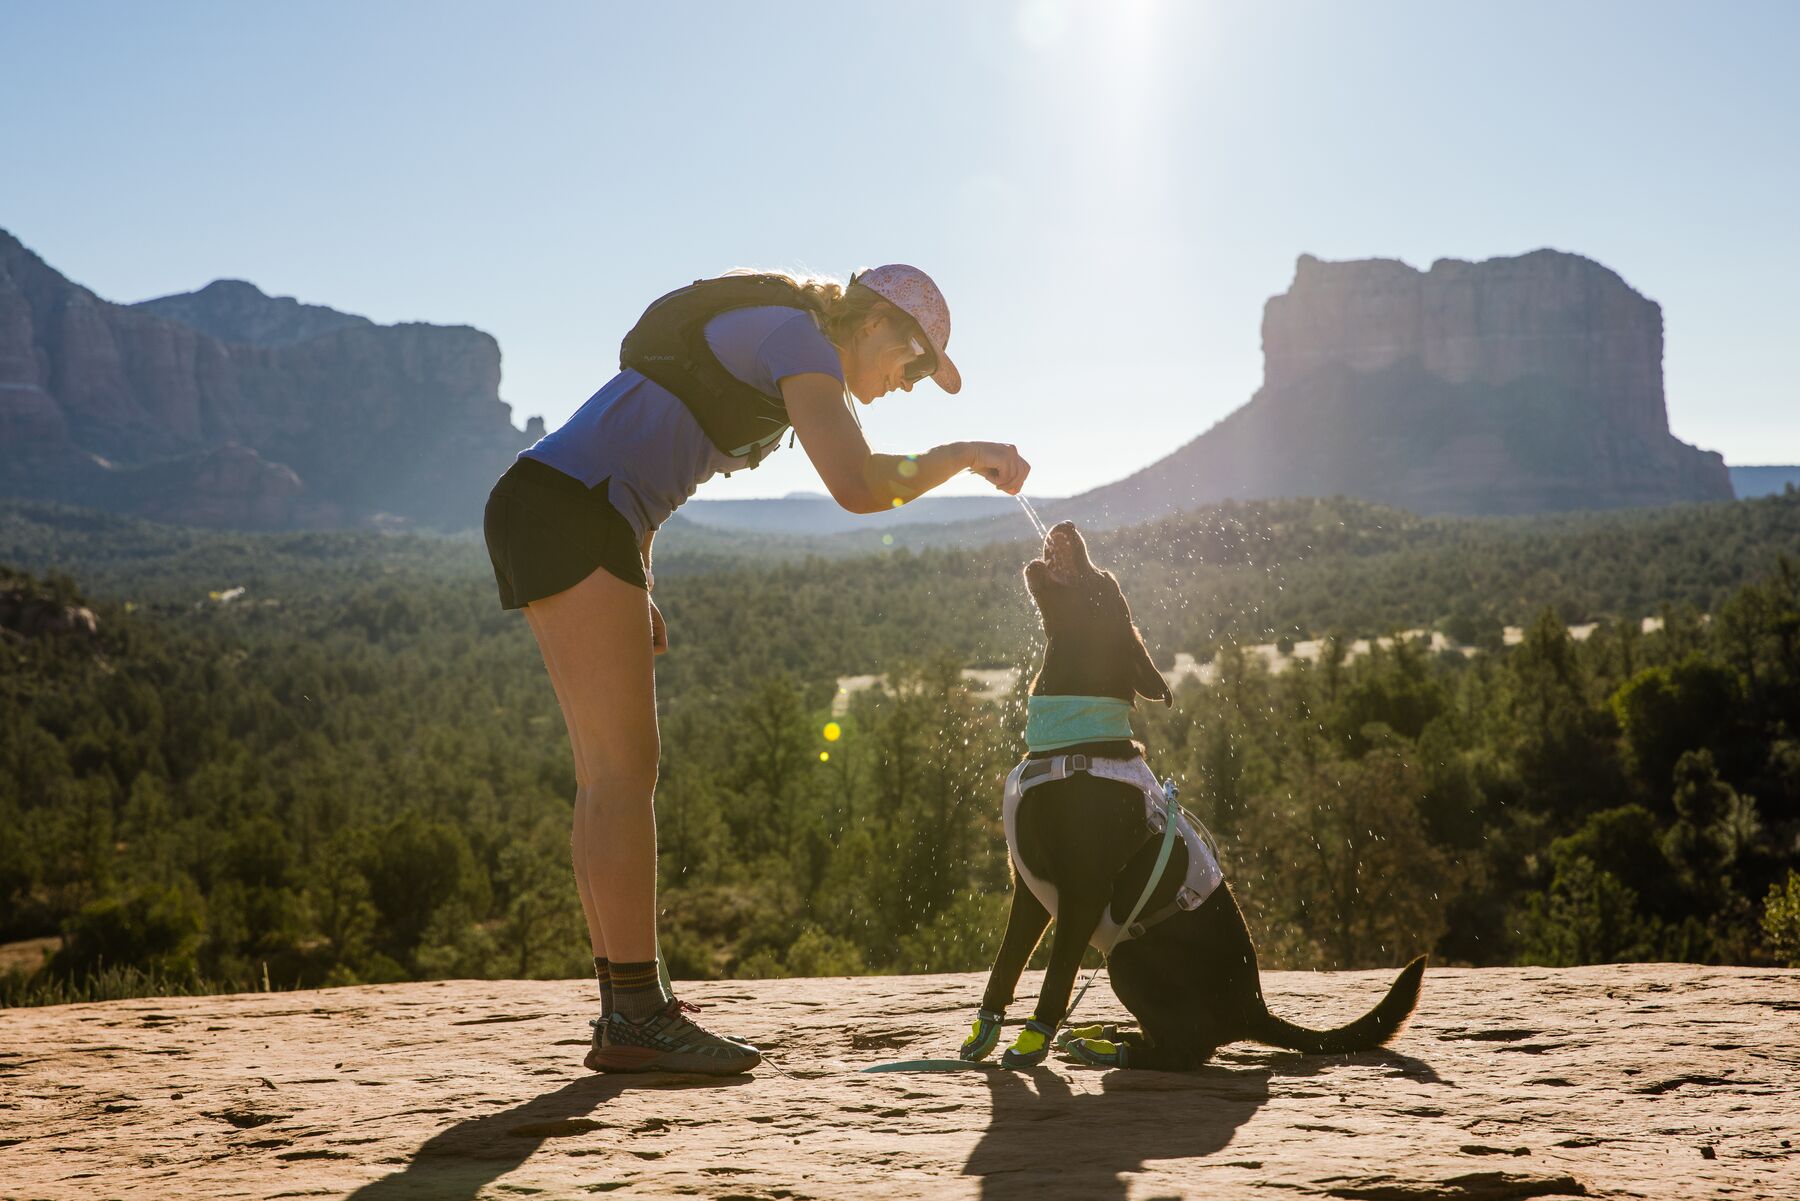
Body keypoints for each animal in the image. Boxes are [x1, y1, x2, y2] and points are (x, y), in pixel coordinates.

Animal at [957, 522, 1418, 1073]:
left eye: (1103, 583)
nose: (1067, 528)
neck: (1070, 739)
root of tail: (1254, 1009)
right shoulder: (1028, 889)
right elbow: (1005, 965)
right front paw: (983, 1034)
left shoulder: (1080, 894)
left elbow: (1055, 978)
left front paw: (1032, 1042)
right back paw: (1109, 1033)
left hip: (1127, 957)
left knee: (1186, 1050)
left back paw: (1112, 1049)